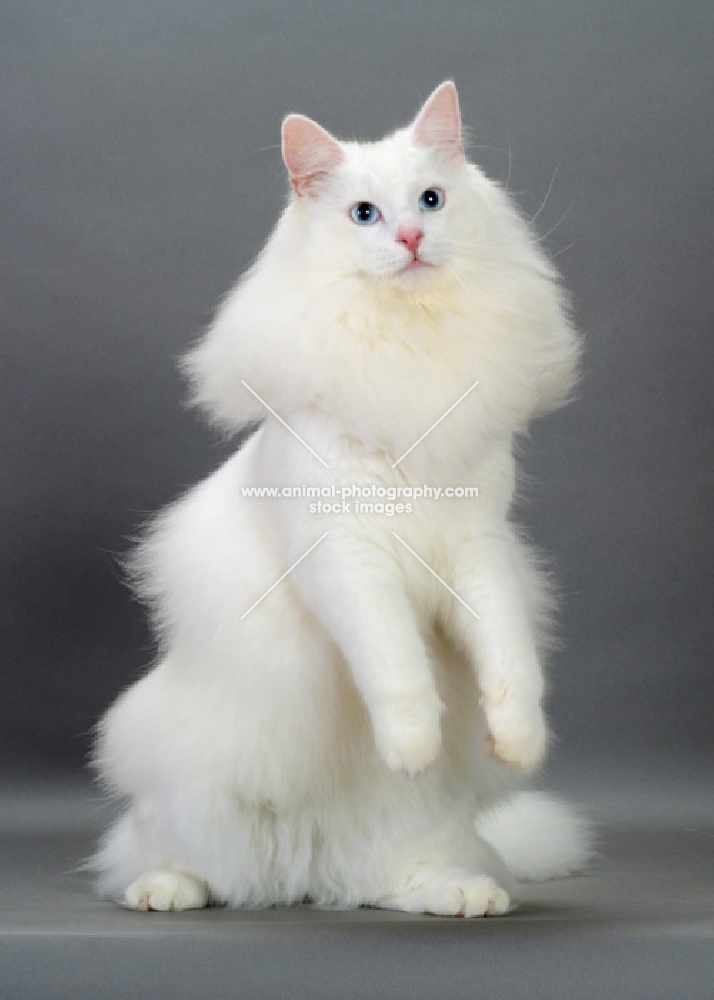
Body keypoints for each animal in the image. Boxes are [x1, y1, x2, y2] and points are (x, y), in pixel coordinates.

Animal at [90, 82, 588, 916]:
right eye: (364, 214)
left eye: (431, 199)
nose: (413, 237)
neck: (408, 350)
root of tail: (302, 877)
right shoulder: (347, 557)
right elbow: (397, 667)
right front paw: (411, 744)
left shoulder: (479, 550)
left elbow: (509, 658)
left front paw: (517, 741)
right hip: (183, 783)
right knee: (160, 855)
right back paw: (165, 890)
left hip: (416, 832)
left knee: (398, 875)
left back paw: (463, 893)